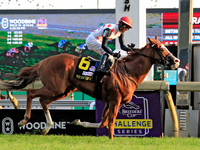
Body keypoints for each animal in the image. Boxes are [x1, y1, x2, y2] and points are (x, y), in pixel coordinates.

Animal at [2, 36, 179, 139]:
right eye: (161, 48)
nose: (176, 61)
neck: (128, 72)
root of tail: (45, 61)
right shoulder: (115, 100)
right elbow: (110, 123)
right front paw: (111, 140)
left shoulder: (109, 101)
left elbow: (102, 123)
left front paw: (78, 121)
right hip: (55, 87)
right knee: (31, 92)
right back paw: (24, 120)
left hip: (64, 90)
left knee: (43, 101)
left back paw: (46, 128)